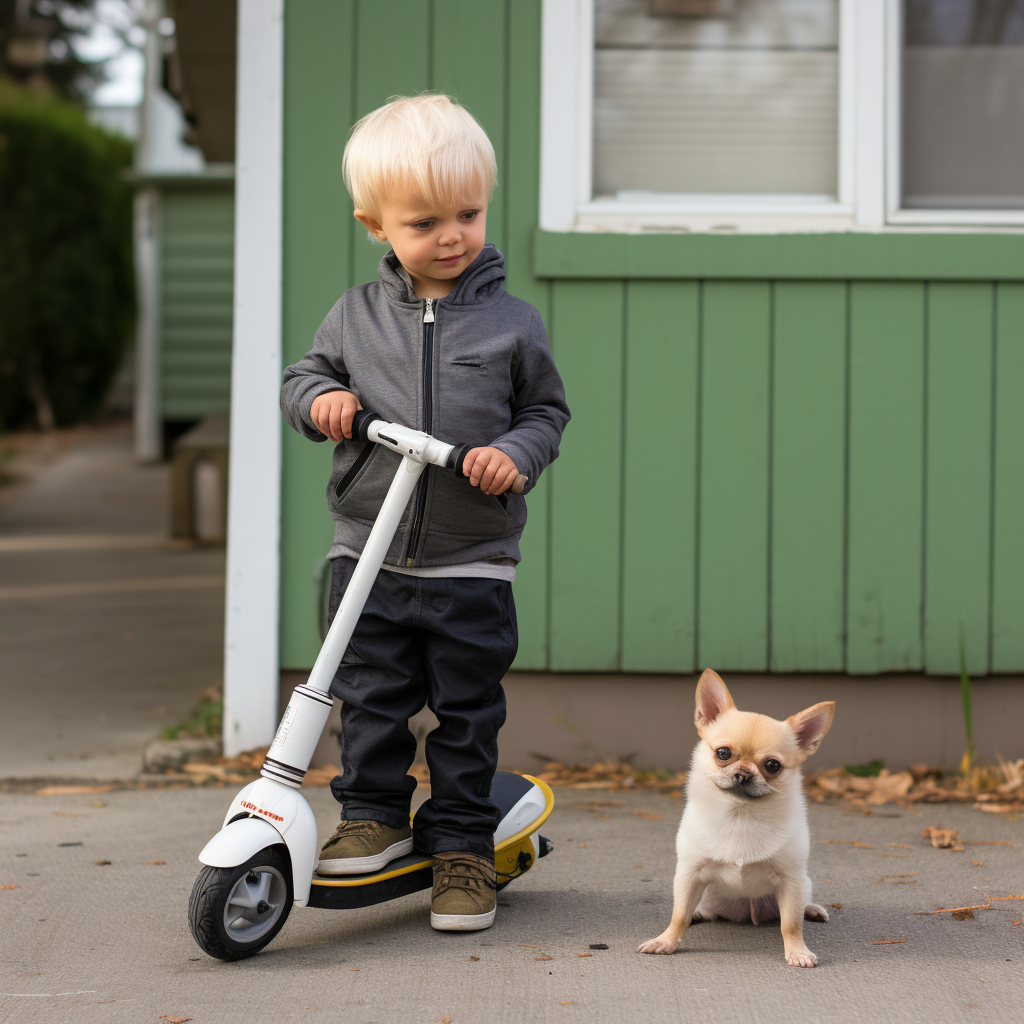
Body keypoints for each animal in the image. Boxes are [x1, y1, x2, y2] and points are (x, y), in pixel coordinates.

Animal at [638, 667, 831, 962]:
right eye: (723, 753)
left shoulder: (791, 880)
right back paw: (699, 913)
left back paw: (811, 909)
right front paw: (666, 941)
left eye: (772, 766)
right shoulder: (689, 875)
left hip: (803, 883)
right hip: (708, 893)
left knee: (795, 909)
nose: (743, 774)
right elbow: (679, 915)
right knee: (703, 910)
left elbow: (790, 924)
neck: (741, 816)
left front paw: (797, 951)